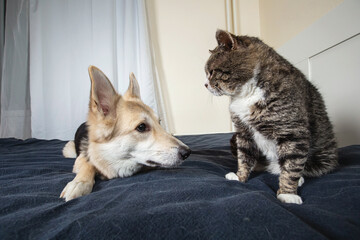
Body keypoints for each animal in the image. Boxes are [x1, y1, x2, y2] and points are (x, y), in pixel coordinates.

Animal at [59, 65, 191, 201]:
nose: (187, 152)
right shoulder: (80, 159)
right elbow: (88, 164)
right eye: (141, 127)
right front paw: (79, 183)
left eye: (159, 122)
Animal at [204, 29, 338, 203]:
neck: (245, 94)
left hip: (323, 157)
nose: (205, 84)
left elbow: (292, 164)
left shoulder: (292, 131)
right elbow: (244, 156)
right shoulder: (243, 132)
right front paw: (240, 177)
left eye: (212, 72)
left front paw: (288, 194)